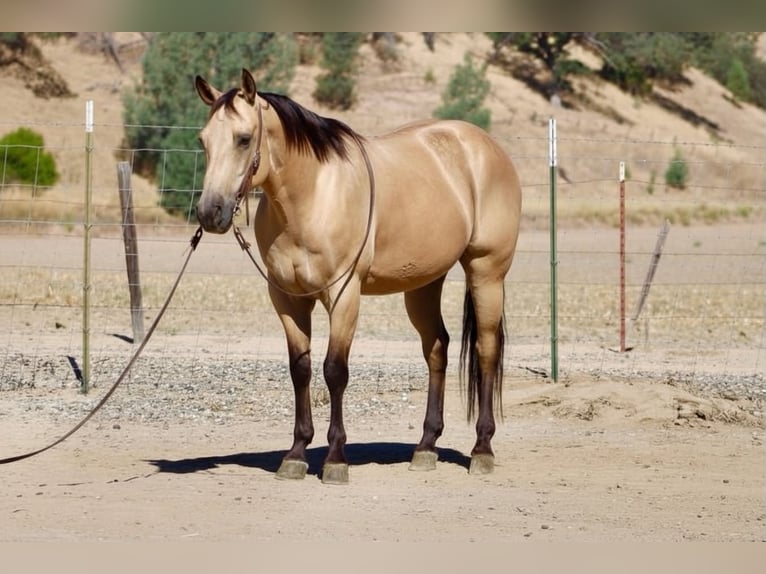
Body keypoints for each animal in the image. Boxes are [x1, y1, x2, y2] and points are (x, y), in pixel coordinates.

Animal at [194, 69, 522, 484]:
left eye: (243, 138)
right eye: (203, 140)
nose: (210, 213)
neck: (312, 196)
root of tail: (485, 146)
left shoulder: (344, 294)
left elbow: (335, 371)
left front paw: (335, 458)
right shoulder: (287, 299)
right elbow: (300, 369)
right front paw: (296, 454)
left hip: (486, 272)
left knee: (486, 350)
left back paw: (482, 448)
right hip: (424, 284)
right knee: (437, 348)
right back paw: (426, 447)